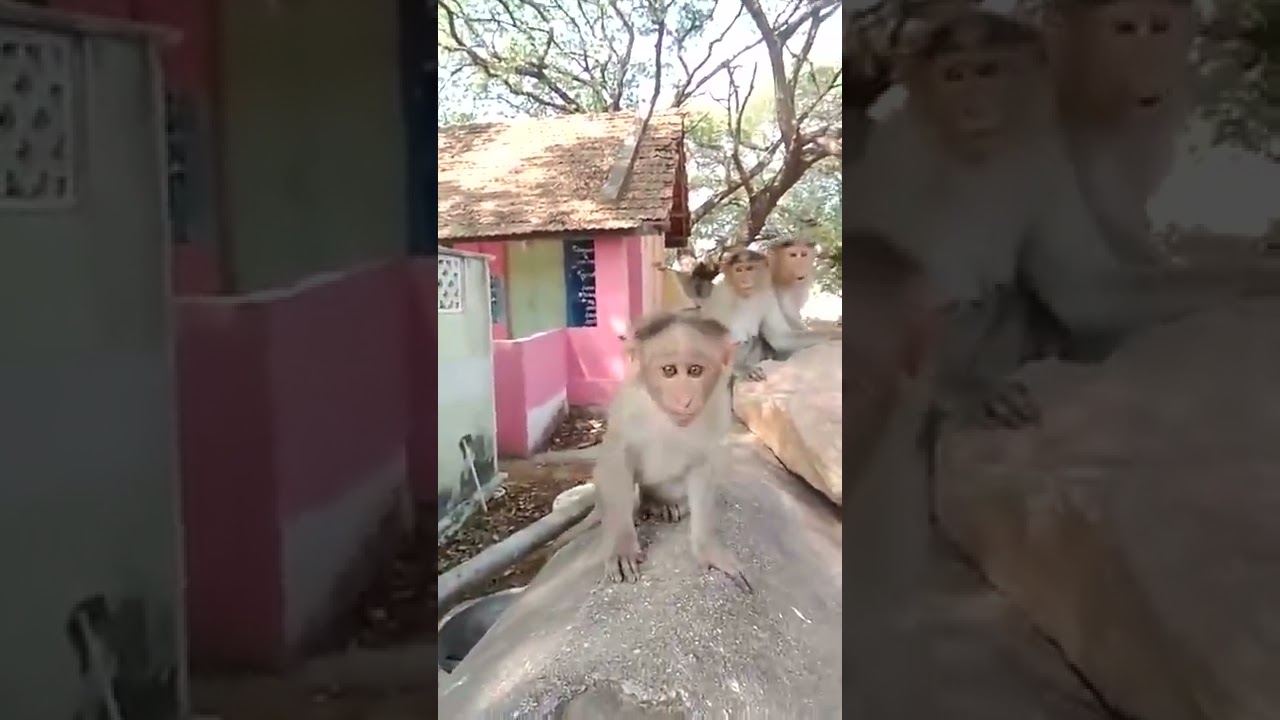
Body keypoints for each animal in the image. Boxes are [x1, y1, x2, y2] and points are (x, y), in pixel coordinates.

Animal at [553, 311, 751, 592]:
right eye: (669, 371)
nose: (684, 399)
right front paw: (622, 546)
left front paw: (708, 548)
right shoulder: (628, 405)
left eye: (695, 371)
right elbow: (616, 457)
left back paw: (663, 504)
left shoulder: (718, 407)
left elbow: (705, 464)